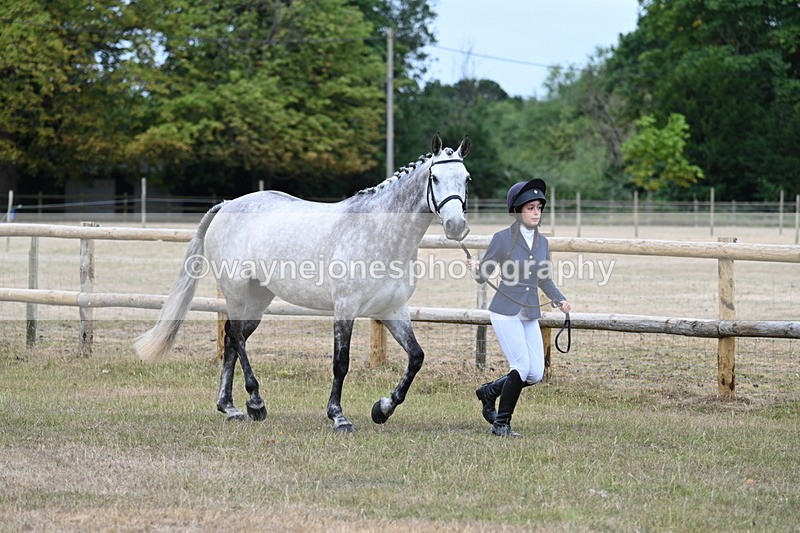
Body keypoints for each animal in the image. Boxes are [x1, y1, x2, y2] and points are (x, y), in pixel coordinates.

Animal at [134, 133, 472, 432]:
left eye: (466, 179)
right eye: (435, 177)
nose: (456, 226)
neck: (378, 233)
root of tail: (227, 204)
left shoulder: (392, 309)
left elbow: (416, 357)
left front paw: (382, 409)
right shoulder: (345, 309)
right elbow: (341, 363)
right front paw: (339, 417)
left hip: (257, 300)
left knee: (232, 338)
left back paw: (230, 408)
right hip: (237, 292)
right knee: (236, 338)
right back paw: (255, 403)